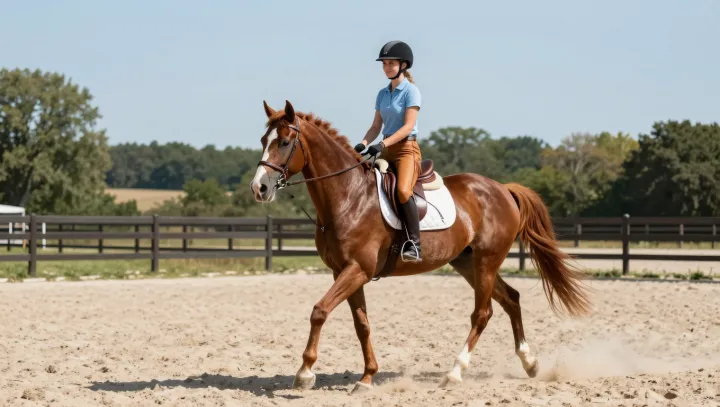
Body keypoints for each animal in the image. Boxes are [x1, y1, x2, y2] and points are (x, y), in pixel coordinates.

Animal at [249, 100, 592, 393]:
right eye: (263, 140)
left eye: (284, 142)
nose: (259, 188)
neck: (349, 197)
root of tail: (503, 189)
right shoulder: (343, 272)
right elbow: (362, 324)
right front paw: (367, 377)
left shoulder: (357, 269)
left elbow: (319, 311)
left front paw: (305, 373)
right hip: (468, 263)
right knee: (511, 299)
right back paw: (529, 363)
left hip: (486, 262)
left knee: (482, 313)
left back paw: (455, 372)